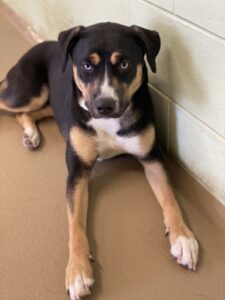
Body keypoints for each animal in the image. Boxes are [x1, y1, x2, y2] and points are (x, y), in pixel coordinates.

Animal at [0, 23, 198, 300]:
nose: (105, 106)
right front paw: (77, 270)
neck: (109, 123)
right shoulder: (78, 171)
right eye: (86, 65)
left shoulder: (152, 158)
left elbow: (170, 199)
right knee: (14, 104)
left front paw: (182, 238)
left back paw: (31, 134)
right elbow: (75, 225)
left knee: (28, 114)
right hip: (25, 93)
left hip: (47, 103)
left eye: (125, 64)